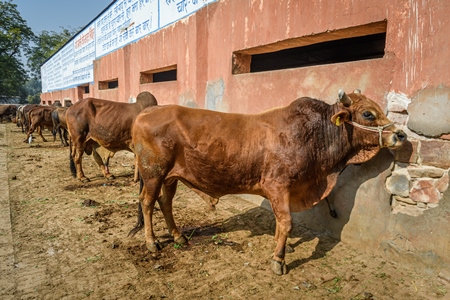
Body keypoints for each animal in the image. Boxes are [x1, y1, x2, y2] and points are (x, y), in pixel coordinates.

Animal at [131, 90, 408, 276]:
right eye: (368, 113)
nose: (401, 134)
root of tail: (146, 112)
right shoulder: (278, 186)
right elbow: (286, 223)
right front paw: (279, 259)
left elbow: (279, 222)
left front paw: (284, 248)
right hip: (153, 174)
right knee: (147, 203)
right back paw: (152, 242)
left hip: (171, 177)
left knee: (165, 203)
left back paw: (178, 236)